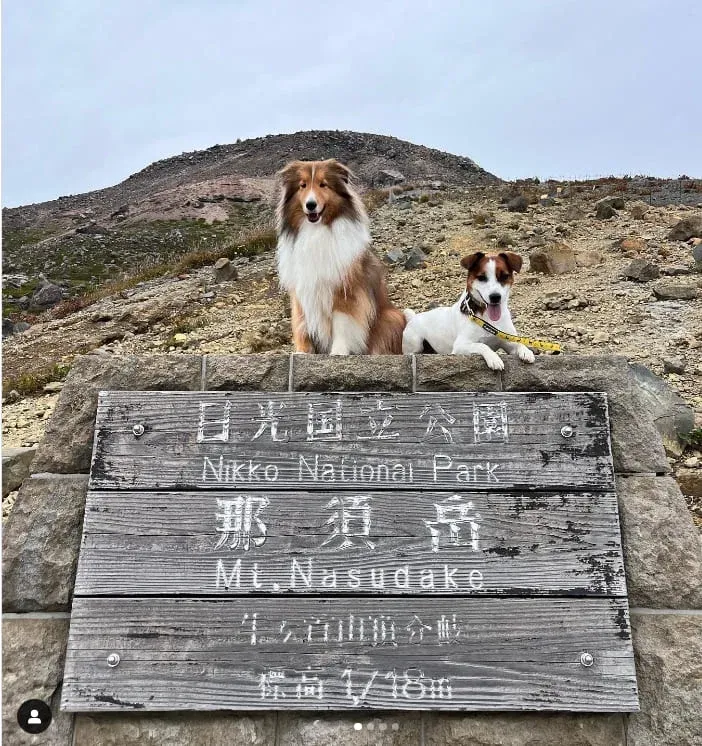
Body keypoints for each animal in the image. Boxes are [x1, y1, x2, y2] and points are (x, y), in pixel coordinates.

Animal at [276, 158, 408, 354]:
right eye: (302, 185)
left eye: (323, 184)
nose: (310, 205)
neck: (316, 232)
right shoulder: (302, 292)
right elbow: (302, 325)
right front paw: (302, 352)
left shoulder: (345, 291)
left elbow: (342, 324)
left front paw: (338, 352)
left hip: (391, 317)